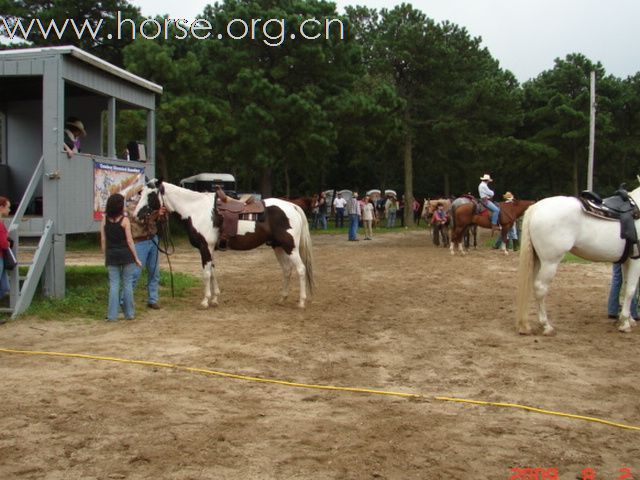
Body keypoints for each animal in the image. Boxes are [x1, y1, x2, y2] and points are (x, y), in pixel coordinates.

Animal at [135, 179, 316, 308]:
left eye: (150, 195)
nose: (137, 214)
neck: (196, 210)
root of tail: (293, 206)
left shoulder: (205, 248)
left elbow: (206, 273)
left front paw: (205, 301)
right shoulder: (210, 249)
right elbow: (213, 272)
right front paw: (215, 299)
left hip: (290, 247)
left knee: (301, 269)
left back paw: (301, 302)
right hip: (278, 247)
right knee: (287, 270)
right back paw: (282, 298)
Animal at [516, 186, 640, 336]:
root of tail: (536, 207)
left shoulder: (626, 261)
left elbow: (626, 287)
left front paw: (629, 320)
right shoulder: (636, 261)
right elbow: (631, 290)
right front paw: (625, 324)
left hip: (538, 260)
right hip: (550, 262)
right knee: (540, 288)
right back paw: (546, 326)